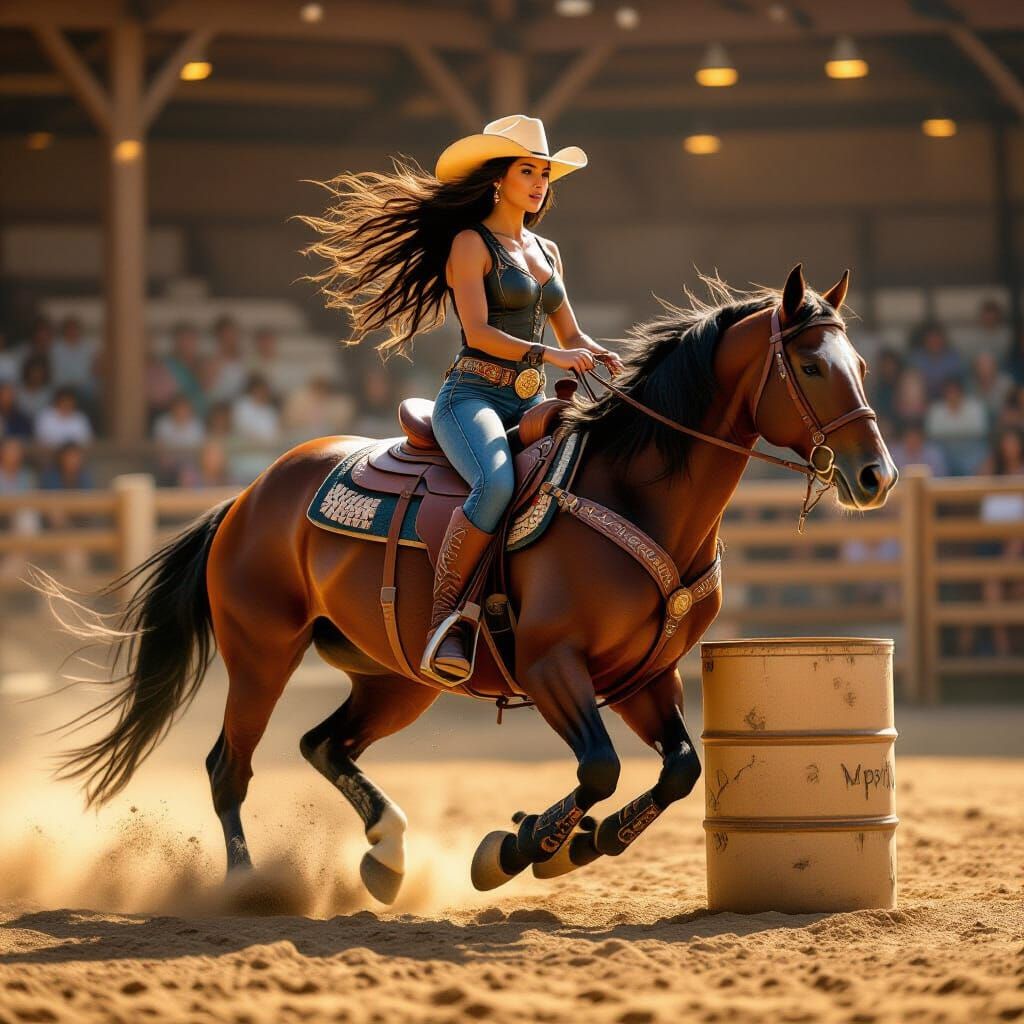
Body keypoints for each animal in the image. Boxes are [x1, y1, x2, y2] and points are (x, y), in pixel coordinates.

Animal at [45, 264, 897, 904]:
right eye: (812, 366)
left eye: (863, 365)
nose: (876, 475)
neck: (634, 492)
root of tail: (250, 496)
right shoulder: (553, 664)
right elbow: (601, 767)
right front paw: (519, 848)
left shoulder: (644, 675)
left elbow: (681, 770)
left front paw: (577, 845)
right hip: (262, 653)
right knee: (232, 766)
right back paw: (250, 885)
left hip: (397, 678)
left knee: (323, 743)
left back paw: (386, 853)